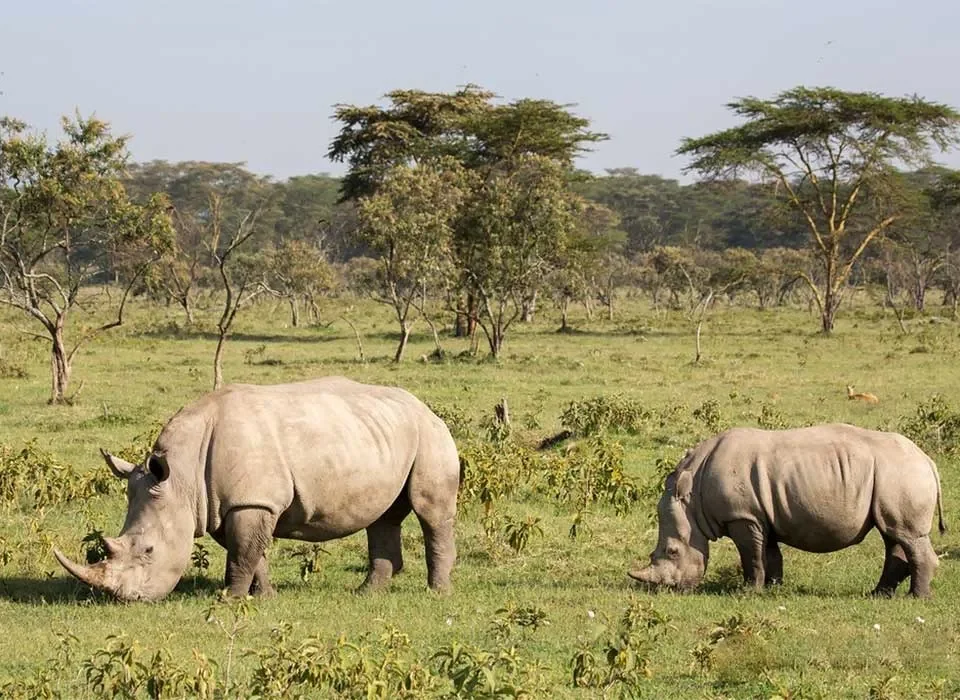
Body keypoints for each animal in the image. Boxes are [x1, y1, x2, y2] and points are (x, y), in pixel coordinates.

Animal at [54, 377, 461, 602]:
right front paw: (264, 596)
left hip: (431, 434)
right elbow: (251, 553)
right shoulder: (224, 504)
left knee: (431, 513)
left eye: (149, 551)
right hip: (382, 434)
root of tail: (424, 405)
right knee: (383, 517)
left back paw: (436, 593)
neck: (182, 477)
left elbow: (242, 554)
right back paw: (366, 593)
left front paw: (229, 599)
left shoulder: (251, 502)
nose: (130, 599)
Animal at [629, 424, 946, 597]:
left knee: (905, 535)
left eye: (672, 552)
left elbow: (751, 556)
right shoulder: (760, 516)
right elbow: (769, 554)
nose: (671, 590)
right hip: (893, 477)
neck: (693, 498)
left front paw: (748, 591)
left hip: (901, 473)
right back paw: (878, 595)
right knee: (893, 534)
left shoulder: (743, 516)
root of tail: (928, 460)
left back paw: (917, 598)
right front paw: (773, 588)